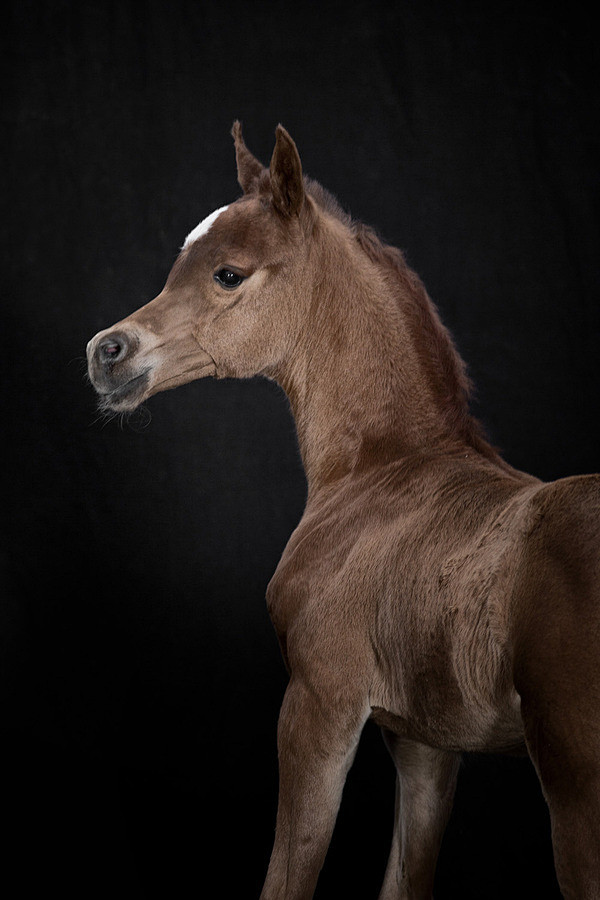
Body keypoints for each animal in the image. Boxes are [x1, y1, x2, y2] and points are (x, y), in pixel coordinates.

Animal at [87, 122, 600, 899]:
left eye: (228, 274)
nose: (105, 352)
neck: (383, 470)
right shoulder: (423, 740)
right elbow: (404, 878)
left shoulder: (319, 704)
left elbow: (288, 874)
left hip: (574, 776)